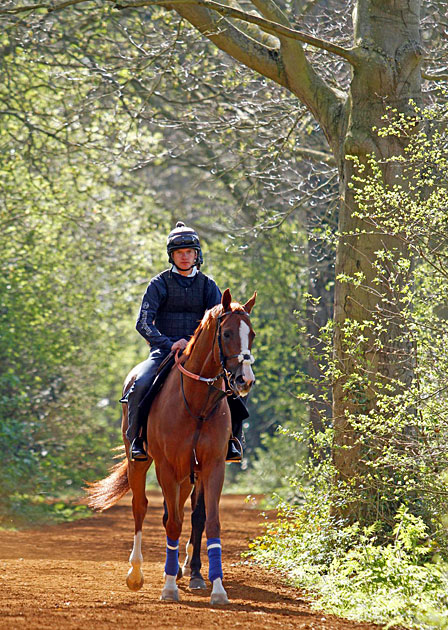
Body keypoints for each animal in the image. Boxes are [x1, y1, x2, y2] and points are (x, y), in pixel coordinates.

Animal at [87, 290, 256, 608]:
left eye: (251, 334)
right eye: (227, 333)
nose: (245, 380)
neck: (197, 402)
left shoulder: (212, 466)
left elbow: (209, 521)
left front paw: (215, 587)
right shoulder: (165, 466)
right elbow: (173, 523)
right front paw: (168, 588)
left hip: (187, 474)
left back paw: (183, 568)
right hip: (140, 462)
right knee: (141, 507)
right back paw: (136, 573)